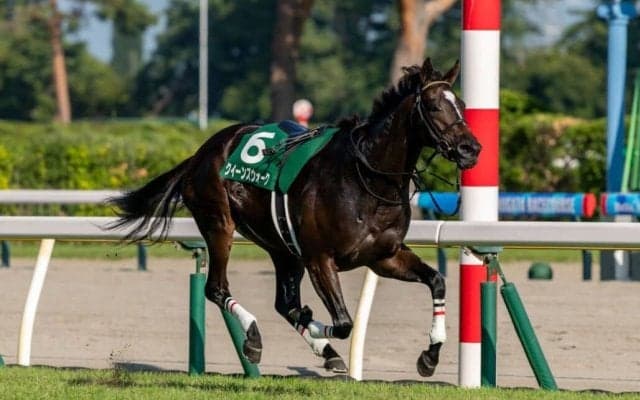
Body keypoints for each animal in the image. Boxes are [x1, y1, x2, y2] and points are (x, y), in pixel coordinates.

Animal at [107, 58, 481, 377]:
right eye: (434, 105)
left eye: (462, 105)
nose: (470, 149)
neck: (367, 179)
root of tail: (201, 153)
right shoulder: (320, 258)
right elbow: (343, 322)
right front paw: (315, 325)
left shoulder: (384, 256)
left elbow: (436, 281)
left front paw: (430, 356)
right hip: (219, 224)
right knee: (217, 288)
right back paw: (256, 337)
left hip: (280, 246)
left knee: (281, 302)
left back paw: (322, 351)